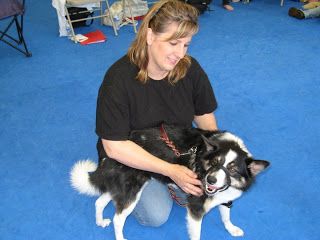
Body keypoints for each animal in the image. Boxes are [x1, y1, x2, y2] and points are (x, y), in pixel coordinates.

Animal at [70, 124, 270, 240]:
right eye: (214, 162)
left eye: (233, 169)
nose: (210, 179)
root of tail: (106, 150)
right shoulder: (196, 208)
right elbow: (197, 234)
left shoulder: (224, 198)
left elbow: (226, 216)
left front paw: (231, 229)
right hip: (132, 191)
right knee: (118, 219)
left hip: (121, 187)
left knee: (99, 202)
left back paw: (99, 221)